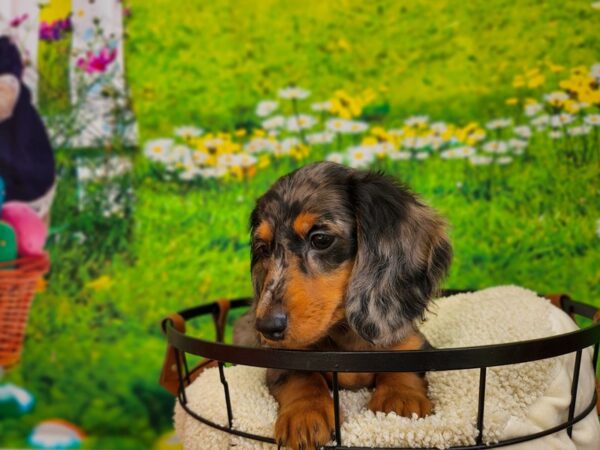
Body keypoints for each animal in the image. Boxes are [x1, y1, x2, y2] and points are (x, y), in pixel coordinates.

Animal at [237, 163, 452, 450]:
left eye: (320, 239)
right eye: (263, 249)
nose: (267, 327)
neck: (345, 337)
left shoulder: (413, 342)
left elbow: (404, 364)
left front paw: (401, 400)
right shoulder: (282, 359)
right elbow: (302, 376)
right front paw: (305, 414)